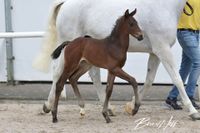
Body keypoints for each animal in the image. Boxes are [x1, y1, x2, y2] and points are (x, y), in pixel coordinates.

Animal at [34, 0, 200, 120]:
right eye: (132, 23)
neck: (164, 6)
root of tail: (64, 3)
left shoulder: (155, 53)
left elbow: (149, 80)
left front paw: (131, 107)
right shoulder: (163, 49)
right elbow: (177, 79)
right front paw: (193, 111)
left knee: (92, 76)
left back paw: (107, 109)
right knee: (58, 74)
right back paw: (49, 107)